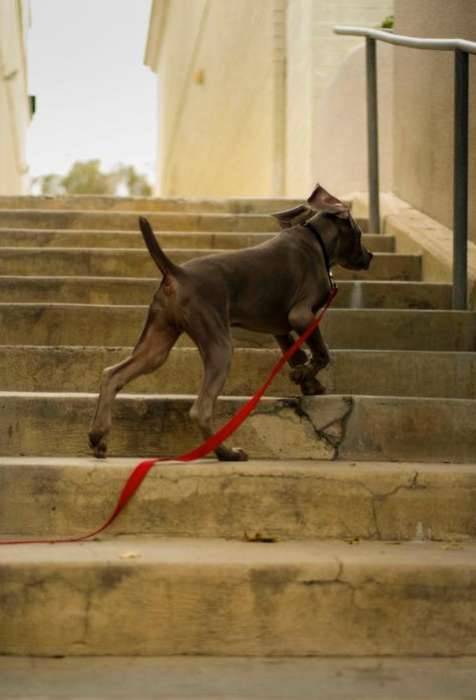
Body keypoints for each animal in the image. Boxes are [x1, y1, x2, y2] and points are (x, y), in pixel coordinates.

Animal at [88, 183, 372, 462]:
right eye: (359, 233)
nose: (370, 257)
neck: (316, 239)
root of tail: (177, 273)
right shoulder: (301, 314)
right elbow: (322, 352)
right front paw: (305, 376)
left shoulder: (278, 327)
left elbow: (296, 354)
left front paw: (308, 382)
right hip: (219, 344)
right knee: (200, 409)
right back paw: (226, 452)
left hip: (158, 341)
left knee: (113, 374)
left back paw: (98, 437)